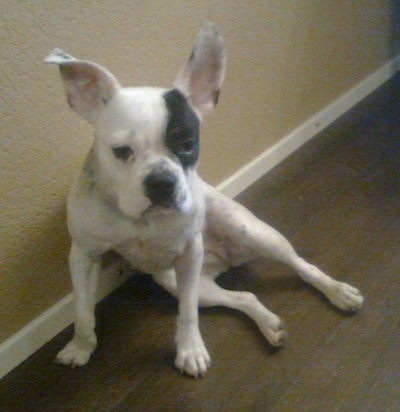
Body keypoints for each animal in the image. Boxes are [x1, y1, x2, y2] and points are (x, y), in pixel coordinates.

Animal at [45, 24, 364, 378]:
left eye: (187, 144)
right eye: (121, 151)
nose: (162, 182)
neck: (140, 219)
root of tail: (225, 260)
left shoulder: (188, 255)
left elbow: (186, 314)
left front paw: (190, 350)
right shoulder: (83, 256)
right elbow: (82, 310)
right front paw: (80, 346)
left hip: (254, 234)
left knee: (303, 267)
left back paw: (337, 291)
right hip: (182, 281)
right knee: (245, 297)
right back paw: (269, 325)